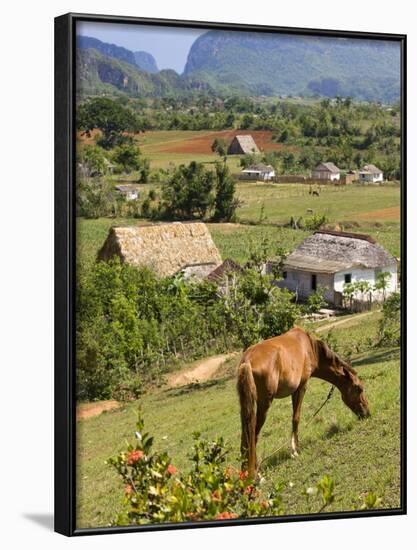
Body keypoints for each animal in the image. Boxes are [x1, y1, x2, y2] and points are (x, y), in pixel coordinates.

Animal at [236, 328, 368, 478]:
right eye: (359, 388)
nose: (367, 413)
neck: (310, 347)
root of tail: (247, 361)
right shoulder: (301, 388)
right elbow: (296, 418)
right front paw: (295, 450)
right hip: (264, 404)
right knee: (253, 435)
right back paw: (256, 474)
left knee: (246, 436)